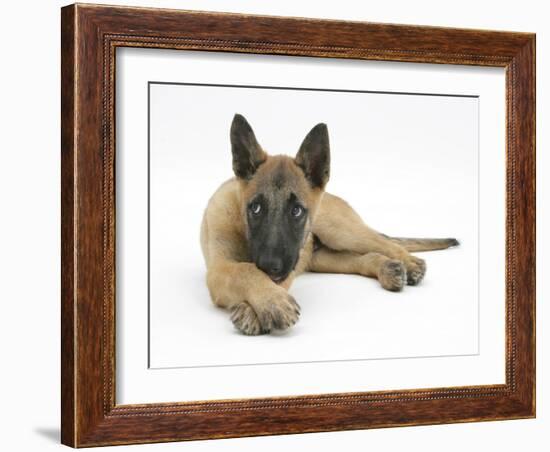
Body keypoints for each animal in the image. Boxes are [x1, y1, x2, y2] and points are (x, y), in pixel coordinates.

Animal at [201, 114, 460, 336]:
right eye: (255, 208)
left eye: (296, 211)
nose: (270, 266)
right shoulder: (219, 269)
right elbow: (245, 270)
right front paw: (268, 301)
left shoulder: (287, 265)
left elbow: (251, 271)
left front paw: (260, 306)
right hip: (322, 258)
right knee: (363, 258)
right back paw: (387, 269)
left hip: (339, 231)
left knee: (385, 243)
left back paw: (410, 263)